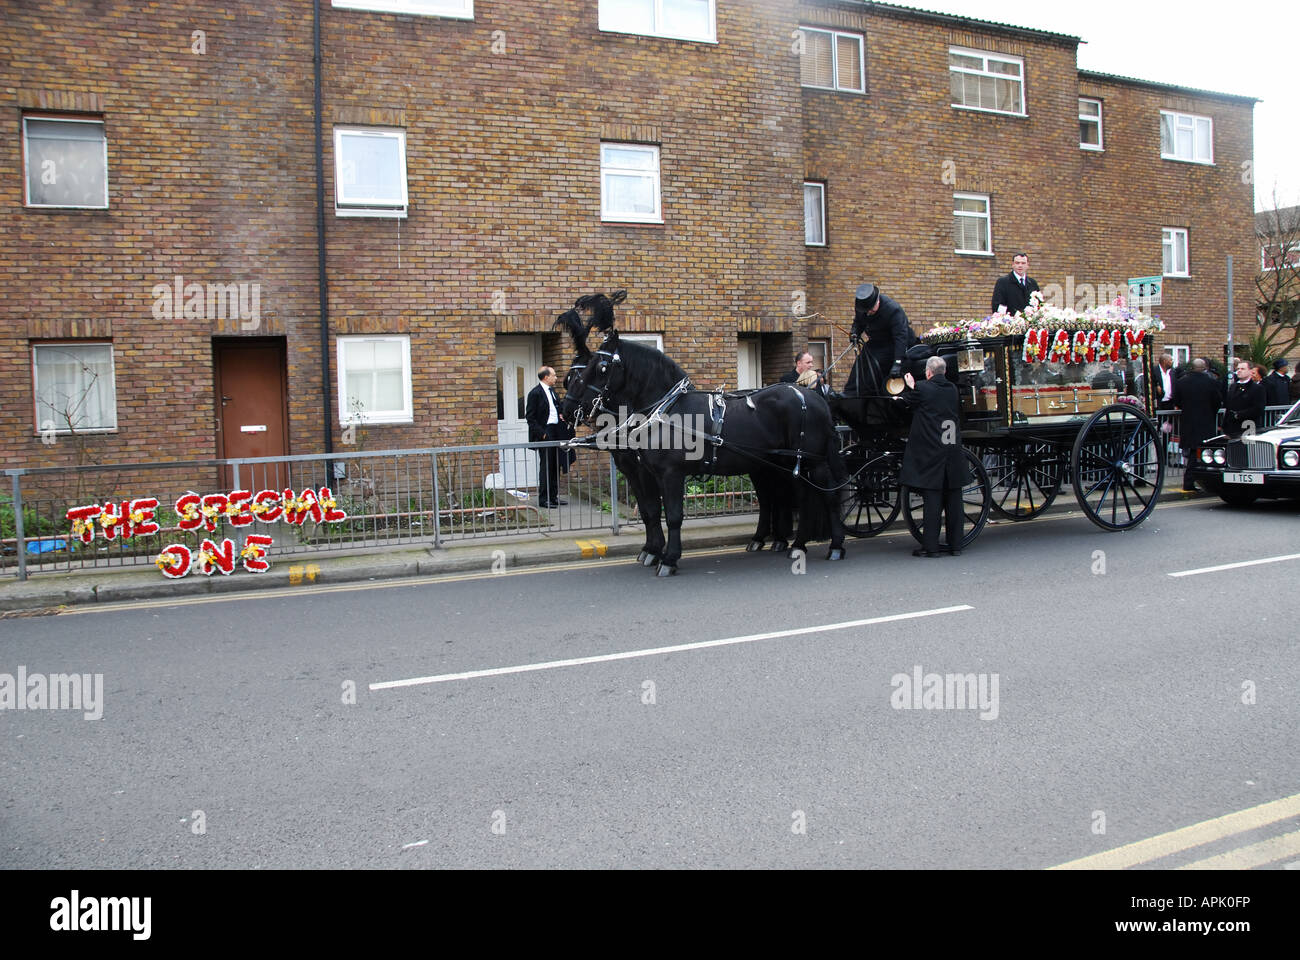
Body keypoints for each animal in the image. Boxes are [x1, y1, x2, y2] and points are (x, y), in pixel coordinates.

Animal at [561, 291, 847, 574]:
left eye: (601, 367)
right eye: (571, 377)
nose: (568, 409)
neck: (665, 409)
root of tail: (814, 396)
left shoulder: (669, 473)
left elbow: (672, 516)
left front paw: (668, 558)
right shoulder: (643, 472)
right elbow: (650, 511)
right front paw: (652, 551)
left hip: (812, 462)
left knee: (827, 496)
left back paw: (834, 546)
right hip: (780, 464)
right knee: (791, 498)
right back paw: (792, 544)